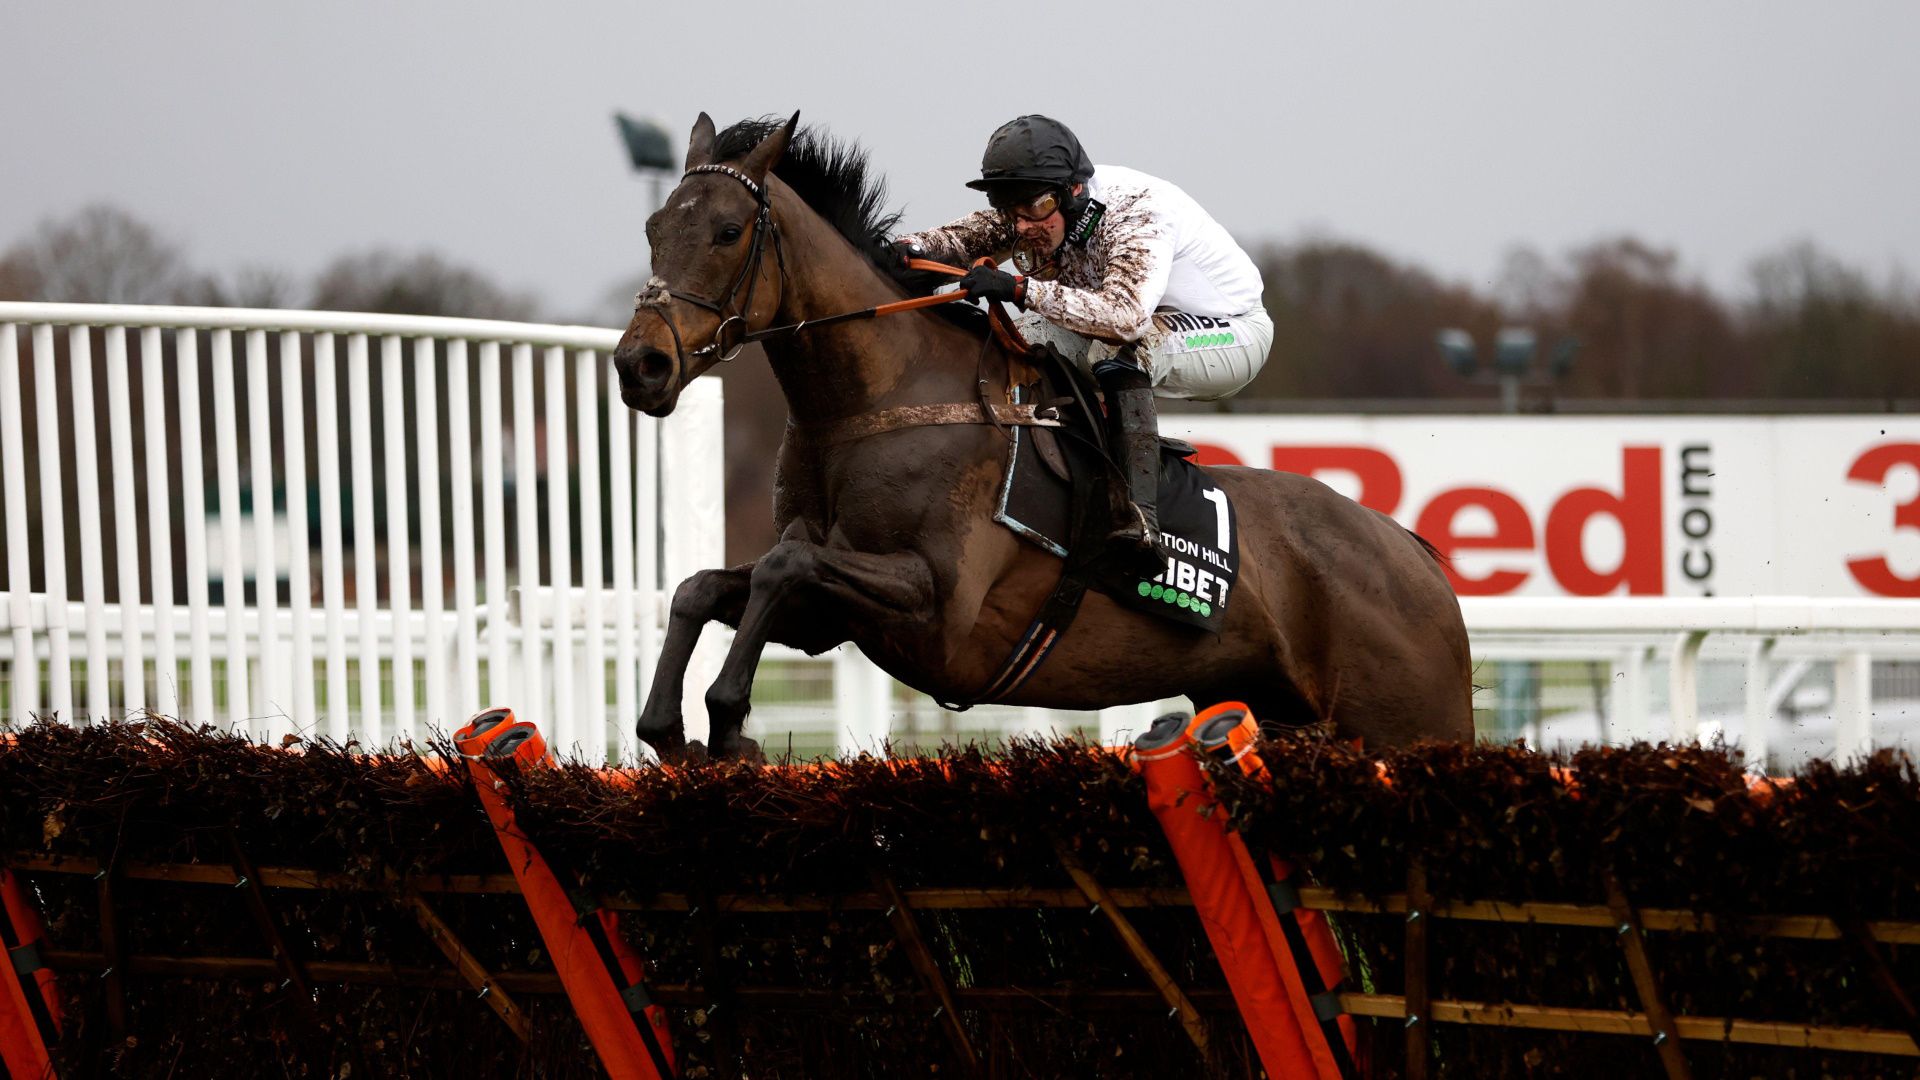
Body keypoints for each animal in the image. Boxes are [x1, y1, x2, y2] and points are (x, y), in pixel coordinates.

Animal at [614, 113, 1466, 757]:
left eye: (728, 229)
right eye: (652, 226)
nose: (639, 365)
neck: (877, 399)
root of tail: (1413, 554)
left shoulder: (937, 605)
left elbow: (781, 565)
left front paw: (728, 718)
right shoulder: (837, 619)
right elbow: (702, 588)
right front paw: (672, 729)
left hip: (1410, 724)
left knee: (1126, 351)